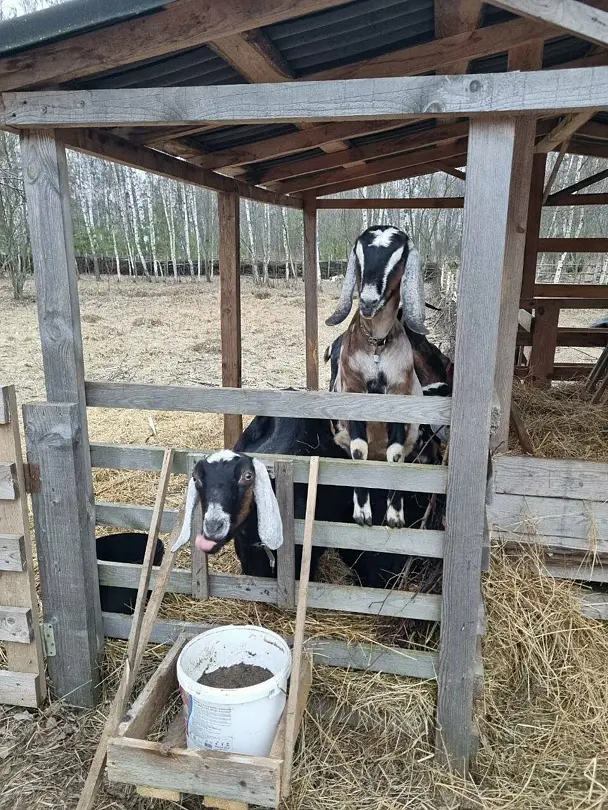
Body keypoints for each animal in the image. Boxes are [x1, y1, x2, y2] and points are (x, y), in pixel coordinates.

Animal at [325, 224, 427, 527]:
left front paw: (394, 516)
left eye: (398, 258)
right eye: (360, 255)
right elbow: (360, 451)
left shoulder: (398, 397)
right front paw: (362, 514)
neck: (376, 347)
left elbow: (395, 455)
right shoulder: (354, 393)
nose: (368, 301)